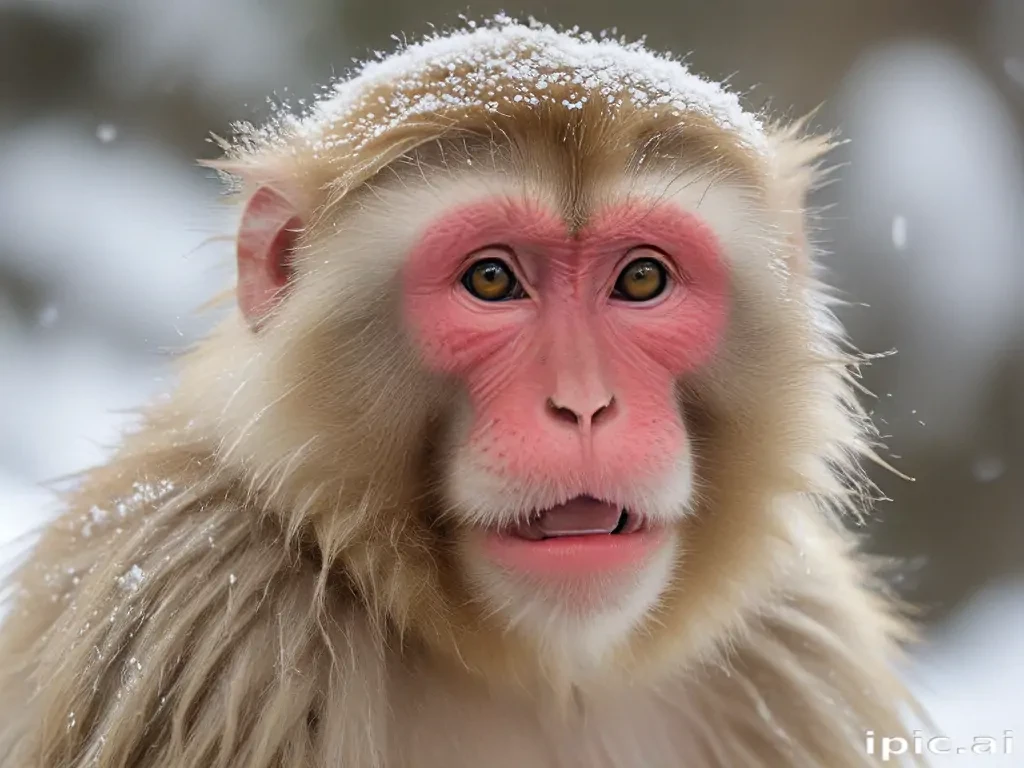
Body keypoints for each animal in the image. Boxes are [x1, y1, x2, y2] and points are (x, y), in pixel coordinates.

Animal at [0, 16, 923, 768]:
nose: (584, 404)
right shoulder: (203, 614)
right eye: (491, 280)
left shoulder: (803, 651)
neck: (549, 674)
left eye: (642, 279)